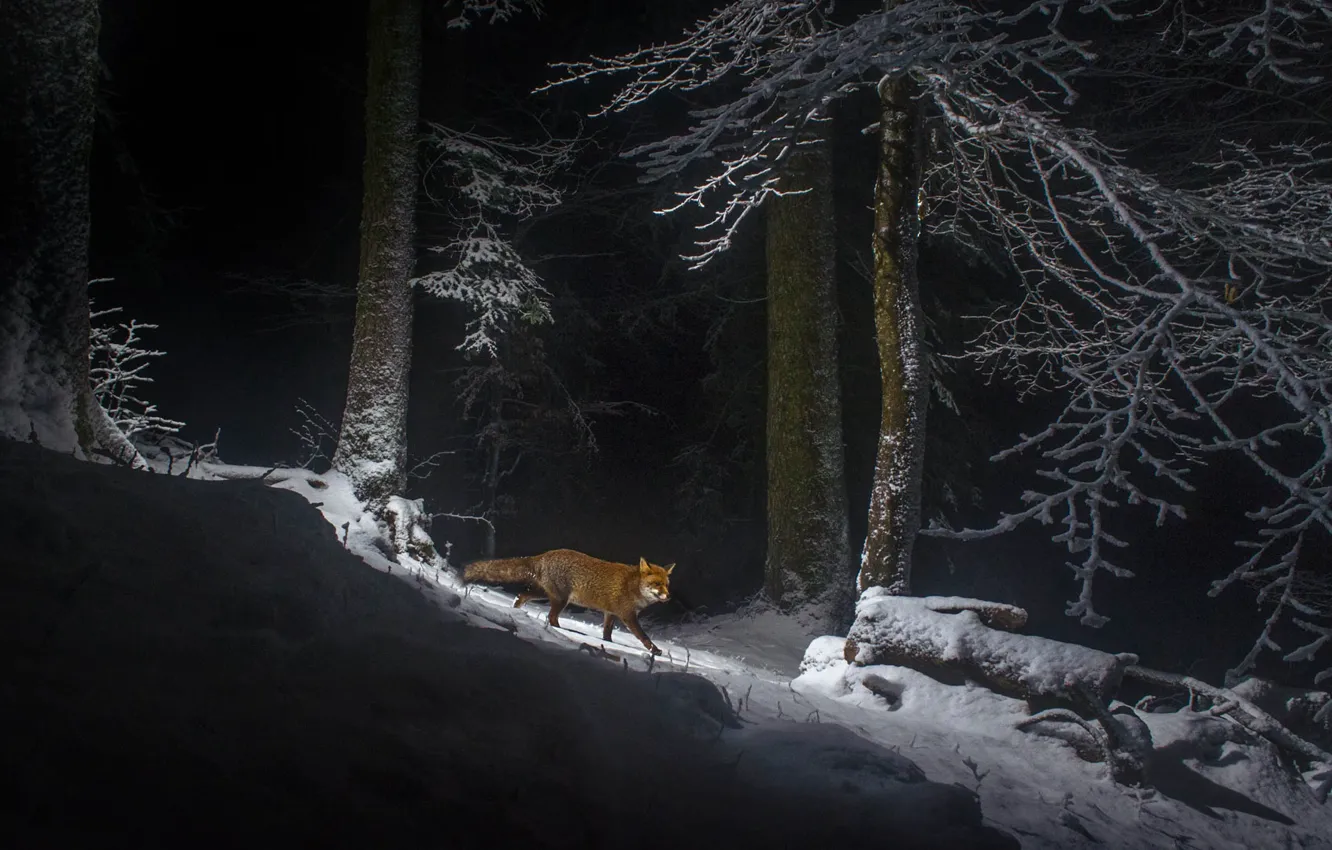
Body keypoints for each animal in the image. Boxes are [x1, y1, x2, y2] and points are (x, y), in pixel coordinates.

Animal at [463, 548, 675, 655]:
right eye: (657, 584)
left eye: (667, 585)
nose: (669, 597)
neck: (632, 586)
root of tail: (543, 555)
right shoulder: (627, 615)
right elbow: (644, 637)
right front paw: (655, 651)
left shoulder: (610, 613)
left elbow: (607, 633)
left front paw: (607, 644)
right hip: (560, 599)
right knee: (551, 617)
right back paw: (561, 631)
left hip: (544, 594)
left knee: (521, 596)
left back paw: (516, 611)